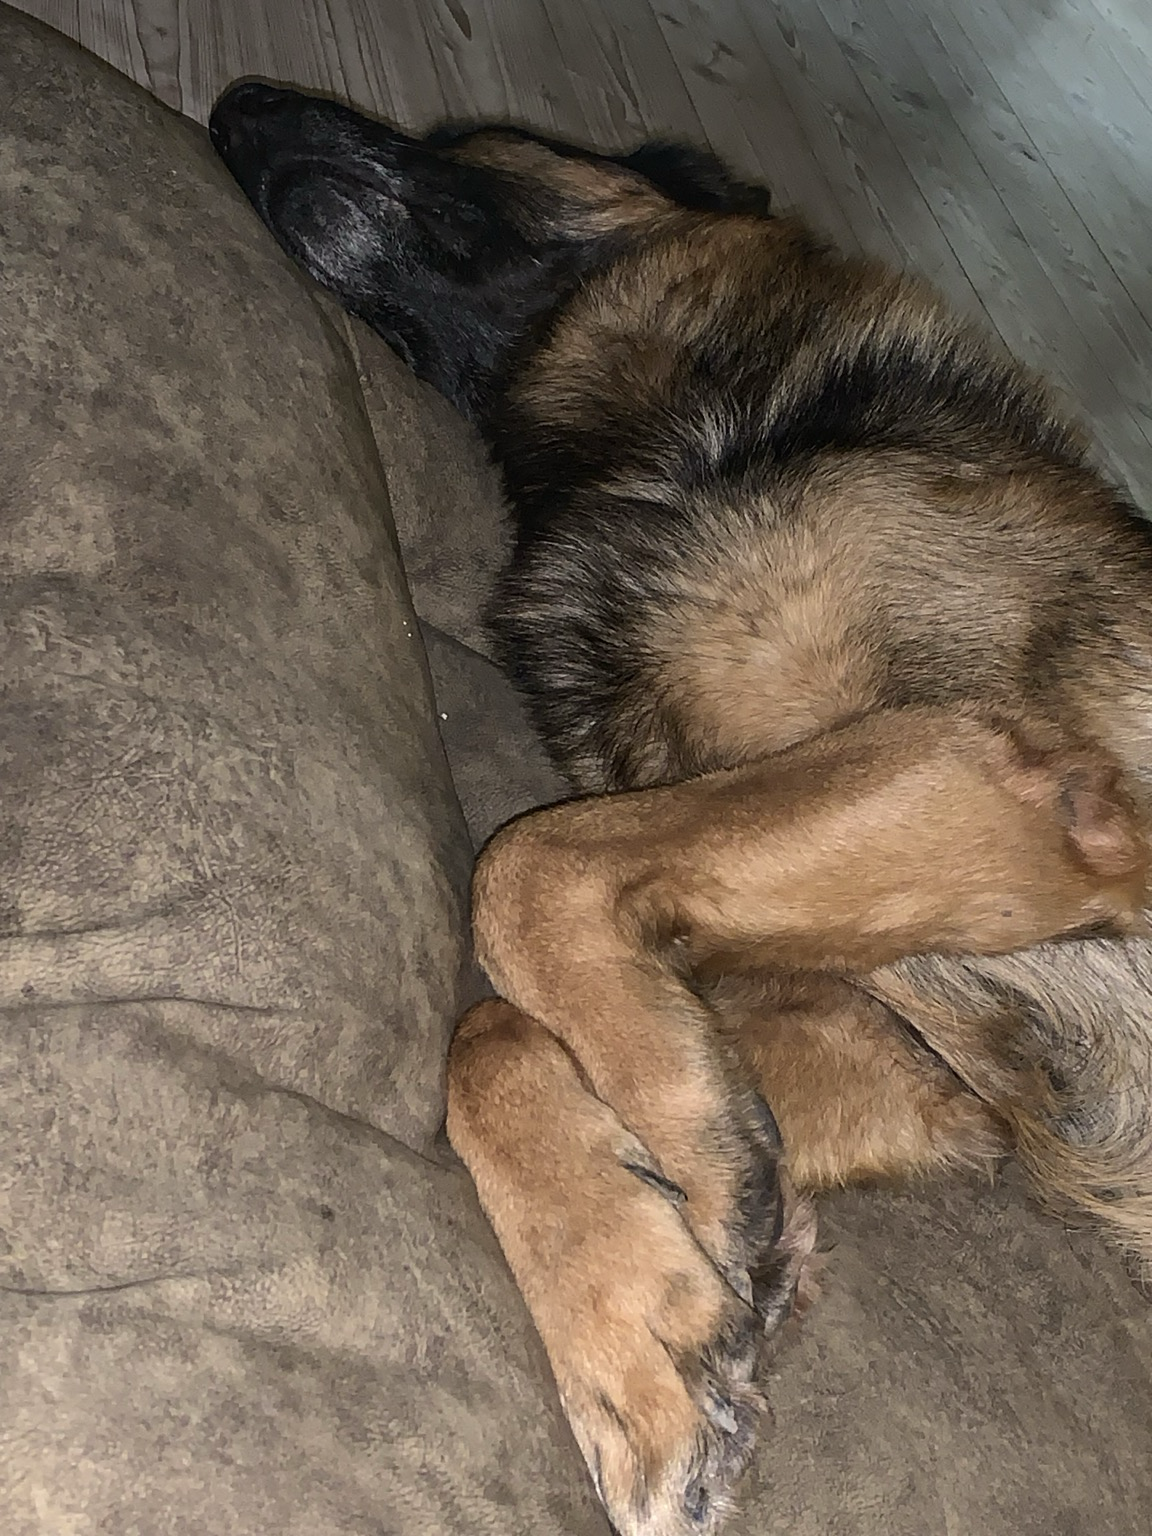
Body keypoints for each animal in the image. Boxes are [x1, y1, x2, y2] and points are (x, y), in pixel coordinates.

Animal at [210, 84, 1152, 1536]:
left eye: (464, 139)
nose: (238, 107)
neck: (679, 432)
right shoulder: (916, 1052)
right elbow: (498, 1033)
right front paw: (645, 1309)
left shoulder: (992, 764)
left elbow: (525, 878)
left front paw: (694, 1195)